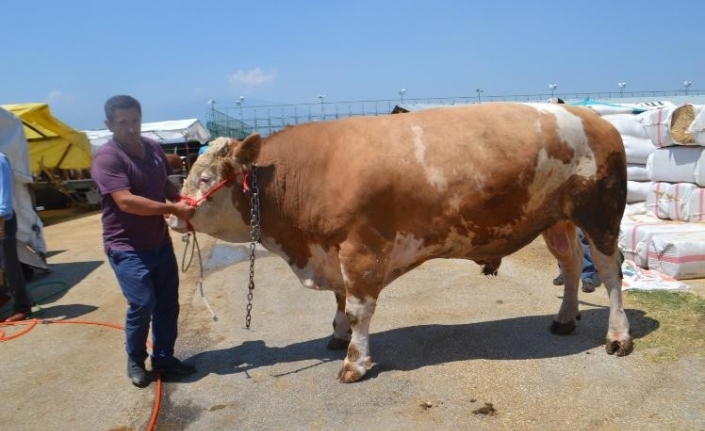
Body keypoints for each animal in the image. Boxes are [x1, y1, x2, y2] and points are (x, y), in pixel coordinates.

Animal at [172, 103, 632, 384]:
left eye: (206, 177)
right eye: (191, 171)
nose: (175, 214)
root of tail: (595, 118)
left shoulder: (360, 249)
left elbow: (358, 308)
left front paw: (354, 362)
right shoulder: (333, 252)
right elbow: (340, 301)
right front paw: (337, 336)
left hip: (601, 218)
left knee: (610, 273)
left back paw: (618, 336)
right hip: (557, 220)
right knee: (570, 264)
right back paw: (565, 318)